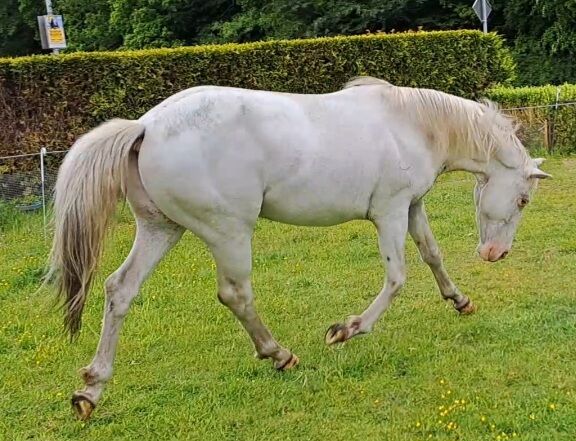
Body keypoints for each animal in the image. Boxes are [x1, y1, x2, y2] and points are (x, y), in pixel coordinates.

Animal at [47, 76, 552, 420]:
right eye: (523, 200)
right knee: (235, 294)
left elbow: (432, 254)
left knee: (120, 290)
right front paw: (346, 330)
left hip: (161, 229)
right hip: (229, 233)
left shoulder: (411, 207)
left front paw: (461, 301)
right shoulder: (390, 211)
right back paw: (279, 354)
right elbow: (396, 278)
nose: (496, 254)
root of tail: (146, 127)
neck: (411, 124)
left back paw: (91, 389)